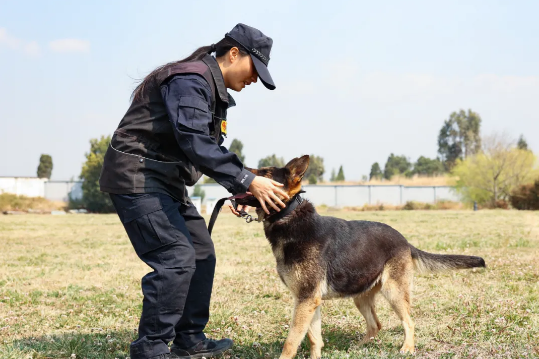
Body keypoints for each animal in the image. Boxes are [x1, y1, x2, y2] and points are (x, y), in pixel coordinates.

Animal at [236, 155, 486, 359]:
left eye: (265, 172)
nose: (239, 169)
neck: (288, 216)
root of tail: (404, 240)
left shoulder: (306, 299)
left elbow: (291, 342)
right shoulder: (308, 300)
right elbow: (314, 339)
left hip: (393, 291)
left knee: (409, 321)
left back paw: (407, 348)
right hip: (360, 296)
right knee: (376, 324)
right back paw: (359, 347)